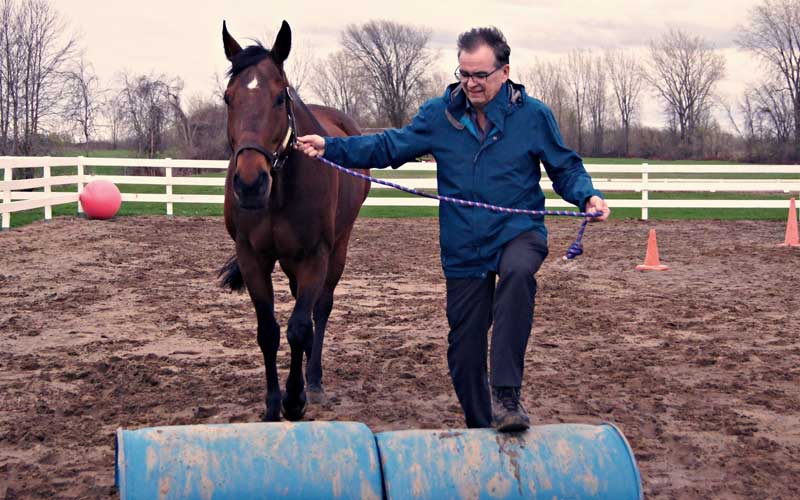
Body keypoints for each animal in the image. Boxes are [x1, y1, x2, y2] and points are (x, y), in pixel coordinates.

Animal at [217, 20, 370, 422]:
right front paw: (273, 405)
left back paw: (313, 381)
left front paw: (295, 399)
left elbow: (300, 327)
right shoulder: (253, 258)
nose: (250, 184)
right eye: (228, 98)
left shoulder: (315, 256)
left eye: (278, 98)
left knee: (320, 308)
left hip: (337, 249)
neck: (279, 192)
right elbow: (268, 331)